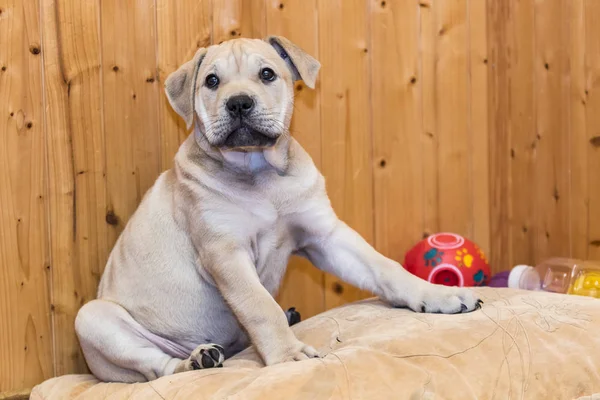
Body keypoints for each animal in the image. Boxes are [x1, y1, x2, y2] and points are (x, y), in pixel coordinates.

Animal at [75, 37, 480, 384]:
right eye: (211, 81)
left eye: (267, 74)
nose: (239, 103)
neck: (259, 173)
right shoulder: (225, 253)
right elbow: (258, 306)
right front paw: (287, 355)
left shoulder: (325, 235)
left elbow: (385, 267)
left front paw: (438, 295)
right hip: (94, 320)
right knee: (161, 368)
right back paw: (197, 358)